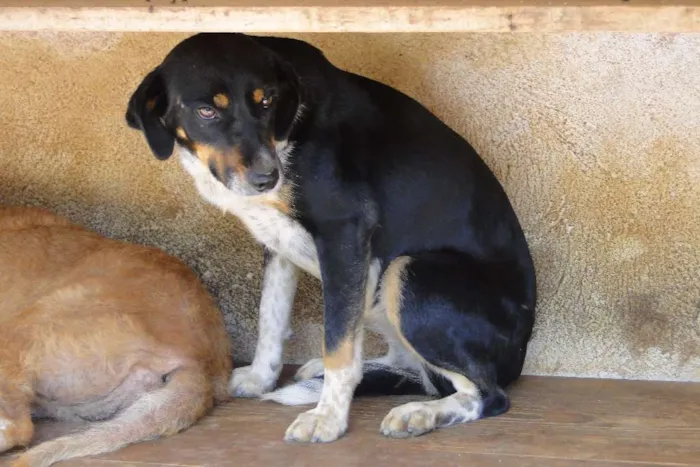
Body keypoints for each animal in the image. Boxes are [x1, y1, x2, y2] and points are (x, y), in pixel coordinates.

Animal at [126, 33, 536, 446]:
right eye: (206, 111)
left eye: (266, 101)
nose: (267, 178)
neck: (288, 128)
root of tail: (519, 355)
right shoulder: (277, 243)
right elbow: (271, 318)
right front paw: (261, 378)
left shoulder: (345, 231)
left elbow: (338, 348)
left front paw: (328, 417)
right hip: (376, 290)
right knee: (411, 364)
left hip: (408, 272)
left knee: (485, 394)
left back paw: (421, 412)